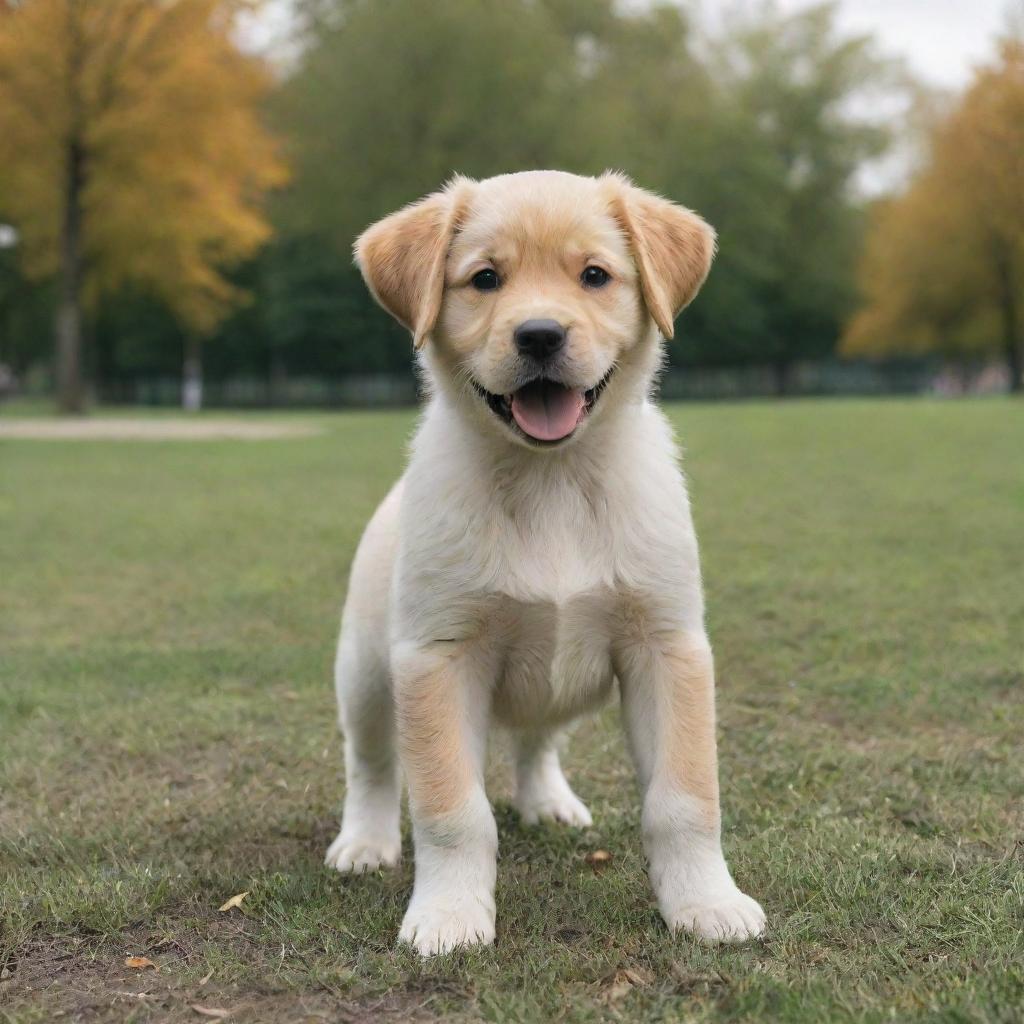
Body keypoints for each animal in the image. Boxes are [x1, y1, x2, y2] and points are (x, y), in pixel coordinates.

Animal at [323, 169, 765, 958]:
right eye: (484, 279)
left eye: (594, 276)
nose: (539, 334)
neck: (550, 478)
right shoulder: (437, 657)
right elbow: (451, 810)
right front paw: (449, 915)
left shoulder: (668, 647)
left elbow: (685, 798)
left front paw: (707, 903)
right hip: (368, 673)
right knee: (372, 764)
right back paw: (365, 843)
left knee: (535, 740)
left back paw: (550, 801)